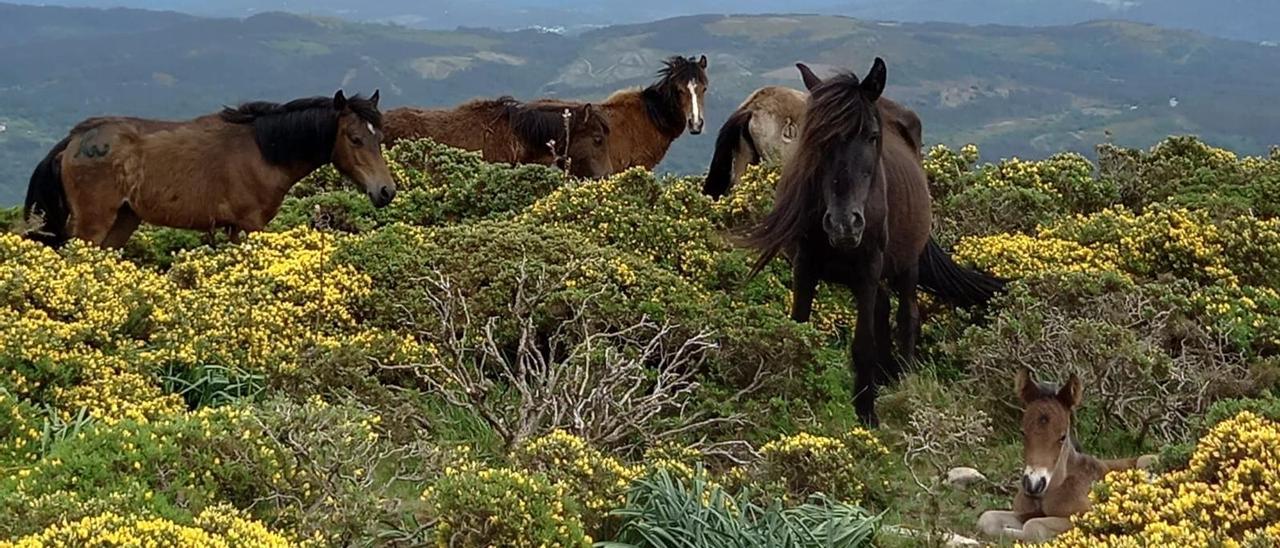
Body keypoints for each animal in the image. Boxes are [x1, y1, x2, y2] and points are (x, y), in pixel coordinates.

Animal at [24, 90, 394, 247]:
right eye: (355, 138)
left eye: (379, 136)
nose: (386, 191)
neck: (262, 151)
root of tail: (74, 141)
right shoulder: (251, 224)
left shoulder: (233, 227)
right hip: (93, 224)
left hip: (124, 220)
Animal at [742, 61, 1008, 427]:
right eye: (816, 137)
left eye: (871, 136)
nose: (844, 223)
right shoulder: (805, 267)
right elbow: (798, 331)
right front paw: (793, 399)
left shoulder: (868, 269)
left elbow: (863, 343)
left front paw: (866, 413)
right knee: (883, 309)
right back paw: (885, 375)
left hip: (906, 265)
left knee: (907, 317)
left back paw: (904, 379)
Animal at [977, 368, 1162, 542]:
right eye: (1023, 432)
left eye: (1062, 436)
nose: (1033, 485)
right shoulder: (1024, 512)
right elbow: (986, 519)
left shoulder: (1084, 516)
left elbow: (1033, 526)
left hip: (1147, 461)